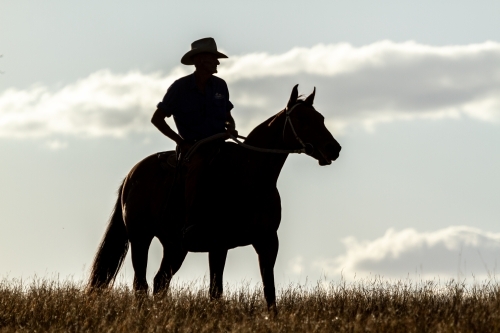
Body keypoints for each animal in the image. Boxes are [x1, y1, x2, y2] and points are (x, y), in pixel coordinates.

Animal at [88, 83, 342, 312]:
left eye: (320, 118)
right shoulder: (218, 244)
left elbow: (269, 292)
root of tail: (132, 175)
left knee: (160, 282)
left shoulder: (267, 242)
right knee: (140, 284)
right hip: (140, 237)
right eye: (302, 119)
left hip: (175, 247)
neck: (249, 178)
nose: (334, 148)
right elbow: (216, 292)